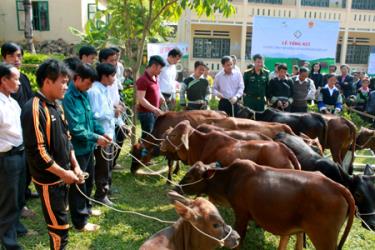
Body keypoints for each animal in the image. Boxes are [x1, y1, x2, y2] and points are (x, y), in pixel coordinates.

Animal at [178, 160, 356, 250]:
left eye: (190, 176)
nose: (177, 187)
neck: (229, 179)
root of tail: (338, 186)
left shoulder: (242, 213)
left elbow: (239, 239)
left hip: (324, 238)